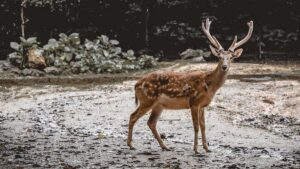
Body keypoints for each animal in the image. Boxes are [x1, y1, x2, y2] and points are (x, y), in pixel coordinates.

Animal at [126, 17, 253, 154]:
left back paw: (165, 146)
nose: (224, 67)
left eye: (231, 57)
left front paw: (207, 148)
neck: (209, 86)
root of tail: (137, 84)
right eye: (219, 57)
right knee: (133, 116)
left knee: (151, 122)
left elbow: (203, 126)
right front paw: (196, 149)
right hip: (147, 99)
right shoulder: (193, 102)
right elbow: (196, 126)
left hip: (158, 105)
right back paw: (131, 145)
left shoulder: (203, 105)